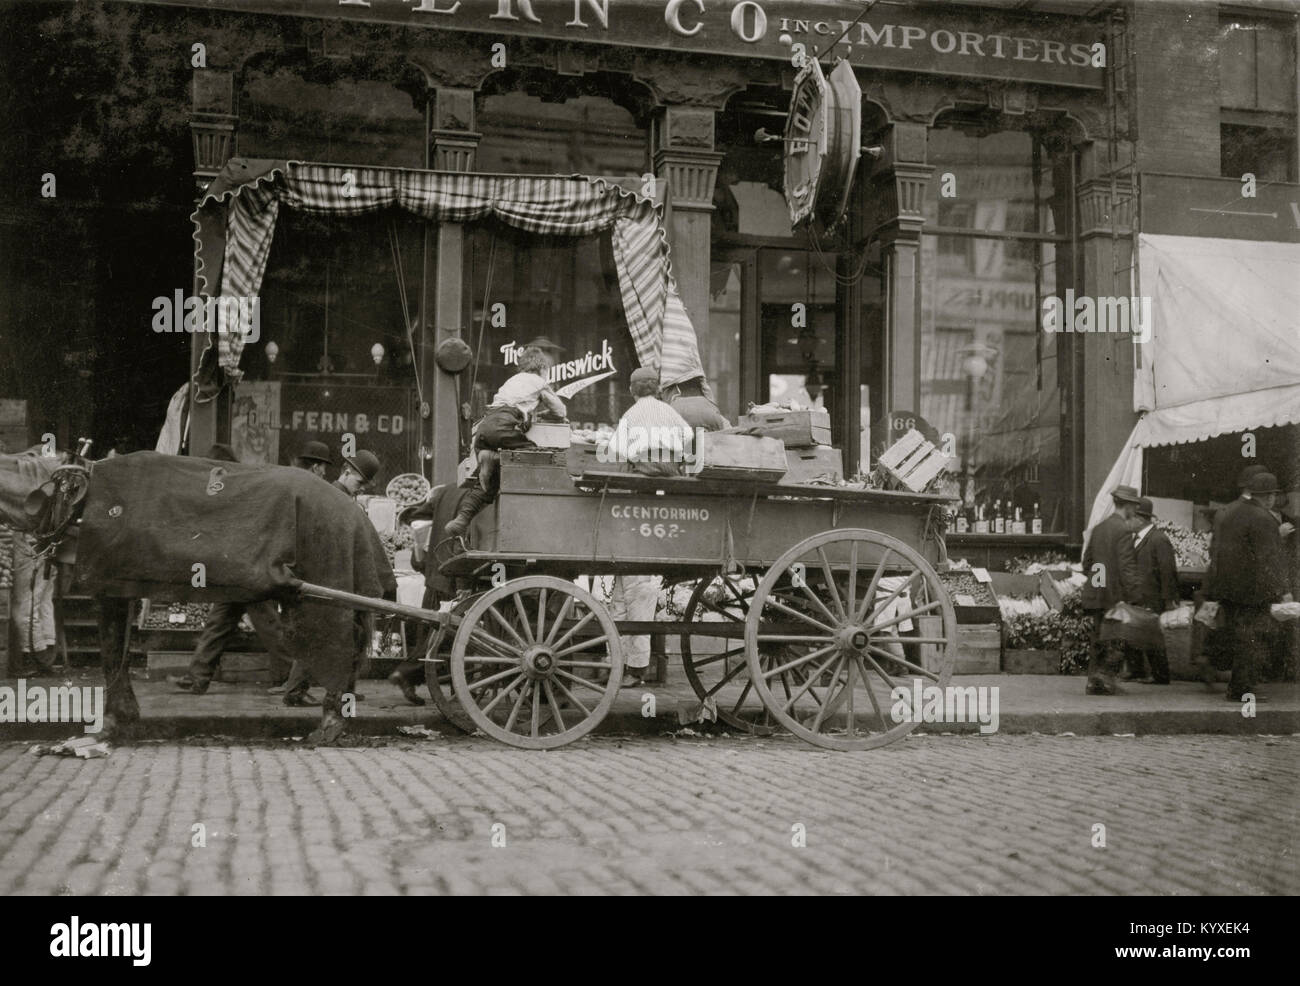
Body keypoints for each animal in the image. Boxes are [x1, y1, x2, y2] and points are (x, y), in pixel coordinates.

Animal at [1, 447, 395, 738]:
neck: (77, 497)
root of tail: (355, 513)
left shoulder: (105, 581)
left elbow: (112, 651)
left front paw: (111, 722)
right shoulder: (119, 586)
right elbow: (119, 650)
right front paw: (126, 715)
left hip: (325, 589)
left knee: (339, 643)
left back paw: (331, 718)